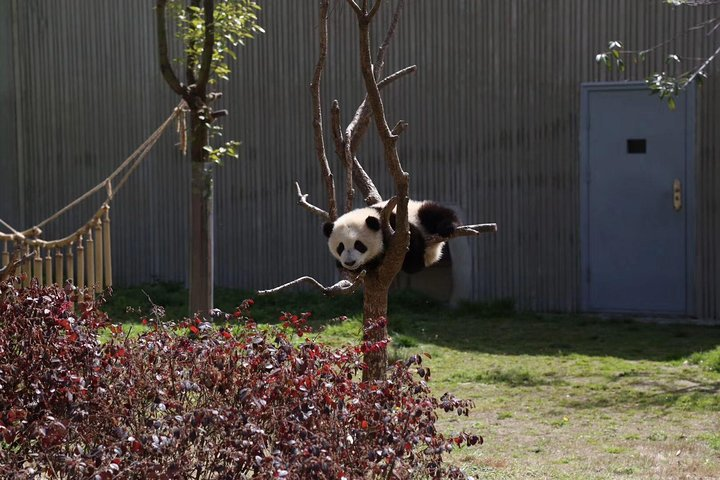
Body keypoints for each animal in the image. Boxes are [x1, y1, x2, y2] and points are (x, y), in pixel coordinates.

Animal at [322, 200, 460, 274]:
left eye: (359, 245)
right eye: (340, 247)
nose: (350, 262)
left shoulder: (394, 224)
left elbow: (411, 239)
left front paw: (413, 264)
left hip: (419, 211)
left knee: (435, 213)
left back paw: (447, 227)